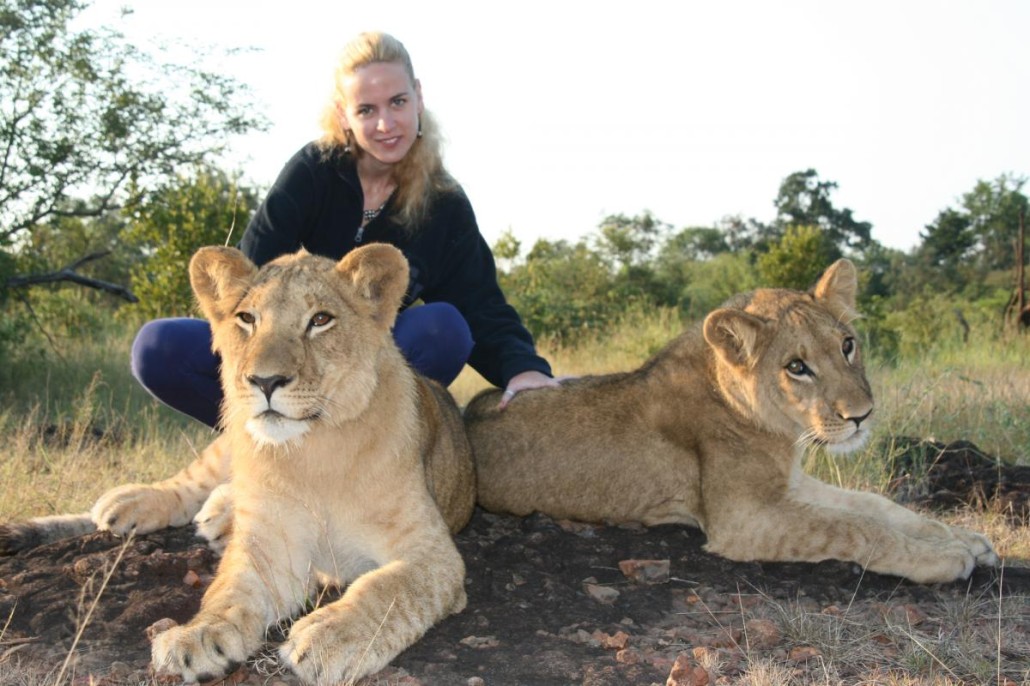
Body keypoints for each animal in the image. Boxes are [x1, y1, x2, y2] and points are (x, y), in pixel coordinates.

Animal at [0, 244, 476, 684]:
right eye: (247, 318)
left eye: (321, 320)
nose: (265, 381)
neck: (314, 450)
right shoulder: (273, 547)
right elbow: (231, 590)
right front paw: (196, 636)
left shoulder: (435, 555)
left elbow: (386, 588)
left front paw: (331, 636)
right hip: (230, 438)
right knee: (191, 483)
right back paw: (136, 504)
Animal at [464, 259, 997, 584]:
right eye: (796, 367)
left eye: (847, 345)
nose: (861, 415)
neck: (782, 431)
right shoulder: (743, 519)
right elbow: (856, 529)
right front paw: (944, 557)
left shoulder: (788, 484)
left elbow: (875, 506)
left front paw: (963, 537)